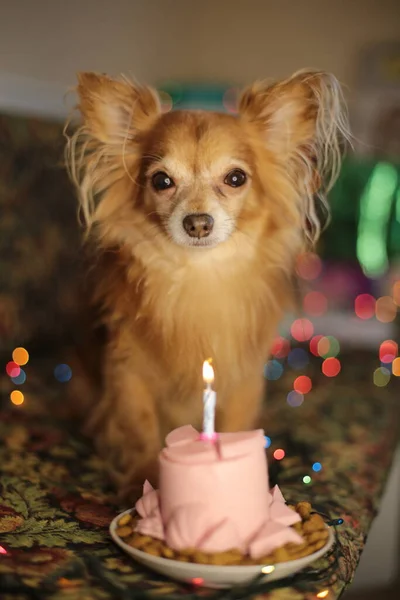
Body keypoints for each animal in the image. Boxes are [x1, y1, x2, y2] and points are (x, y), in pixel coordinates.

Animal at [65, 68, 346, 500]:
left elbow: (235, 427)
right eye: (162, 181)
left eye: (236, 178)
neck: (199, 275)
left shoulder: (243, 381)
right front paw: (143, 481)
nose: (197, 222)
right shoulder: (127, 375)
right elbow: (139, 429)